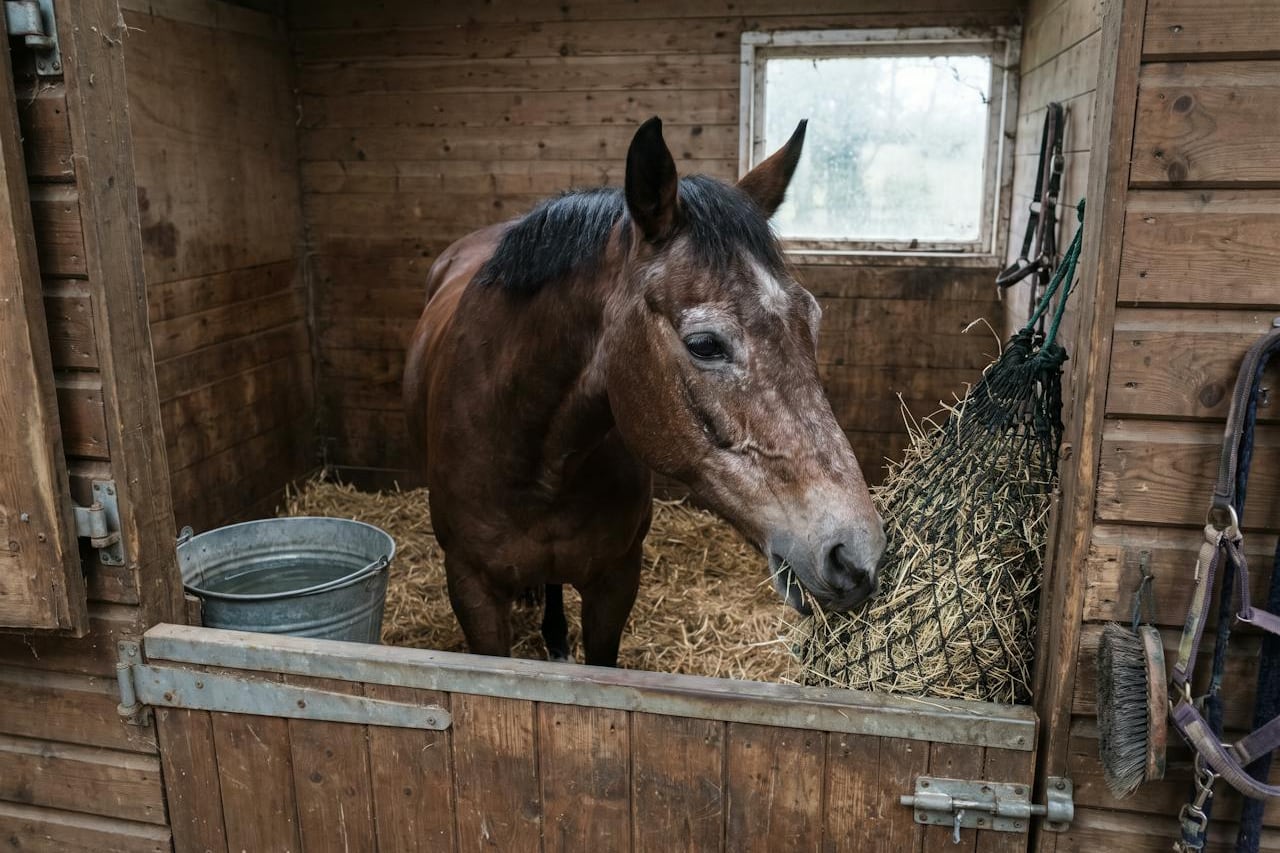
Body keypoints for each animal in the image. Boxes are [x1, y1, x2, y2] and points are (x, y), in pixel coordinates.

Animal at [403, 117, 886, 667]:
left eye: (813, 319)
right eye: (705, 344)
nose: (856, 554)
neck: (530, 454)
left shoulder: (615, 582)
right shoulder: (472, 591)